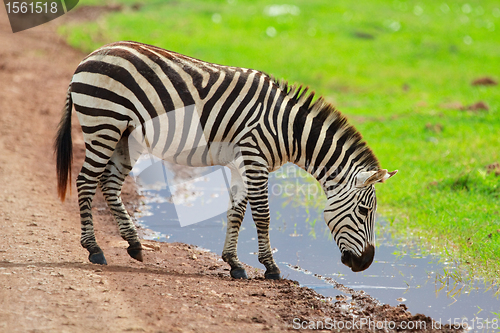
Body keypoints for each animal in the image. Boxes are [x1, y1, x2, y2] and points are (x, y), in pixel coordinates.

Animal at [55, 42, 398, 280]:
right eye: (365, 211)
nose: (365, 263)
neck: (287, 129)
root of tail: (91, 56)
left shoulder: (242, 164)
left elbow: (236, 212)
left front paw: (233, 263)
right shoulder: (255, 158)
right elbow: (262, 215)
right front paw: (271, 268)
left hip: (126, 136)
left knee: (109, 184)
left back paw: (135, 245)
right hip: (104, 123)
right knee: (86, 181)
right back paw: (95, 249)